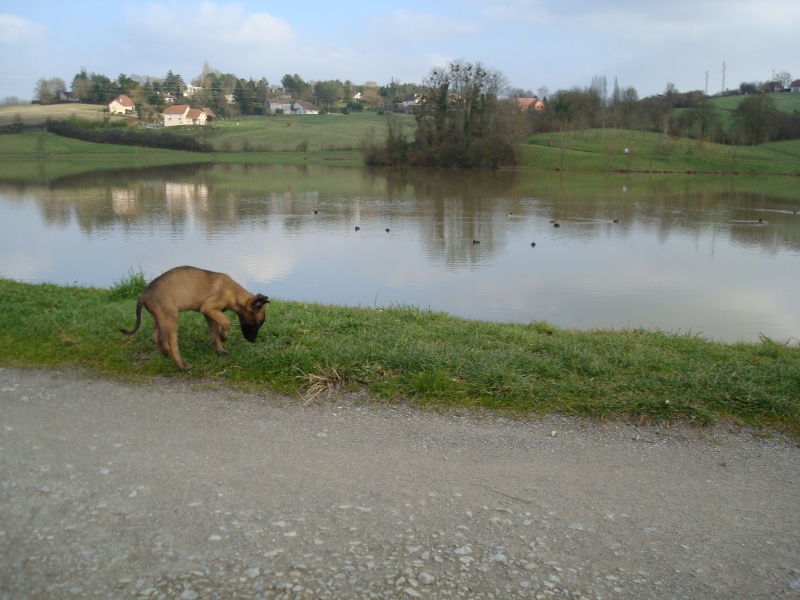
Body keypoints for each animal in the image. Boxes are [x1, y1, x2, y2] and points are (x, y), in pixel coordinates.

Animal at [119, 266, 268, 370]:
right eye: (255, 324)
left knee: (156, 336)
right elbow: (227, 322)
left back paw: (165, 353)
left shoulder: (210, 314)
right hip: (172, 319)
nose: (253, 341)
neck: (235, 293)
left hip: (160, 318)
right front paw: (224, 336)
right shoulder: (209, 308)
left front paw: (219, 349)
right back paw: (183, 366)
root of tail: (144, 294)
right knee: (173, 346)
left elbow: (214, 334)